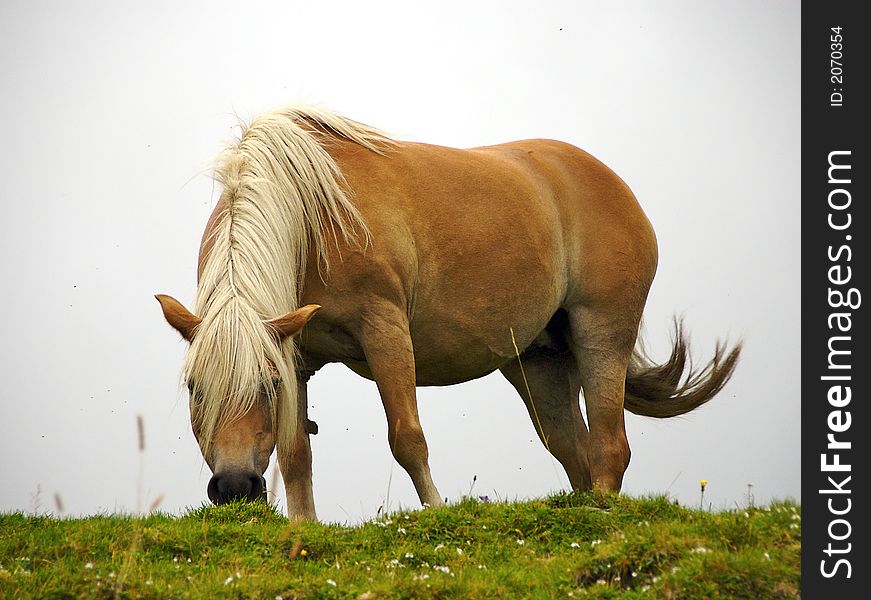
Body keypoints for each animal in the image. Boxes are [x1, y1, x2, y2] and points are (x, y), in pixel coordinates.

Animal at [157, 106, 744, 520]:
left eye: (266, 385)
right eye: (195, 388)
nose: (235, 487)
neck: (313, 216)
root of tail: (613, 184)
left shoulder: (385, 330)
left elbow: (407, 436)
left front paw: (436, 511)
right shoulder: (295, 351)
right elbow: (295, 453)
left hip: (602, 331)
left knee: (609, 449)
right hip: (538, 364)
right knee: (575, 452)